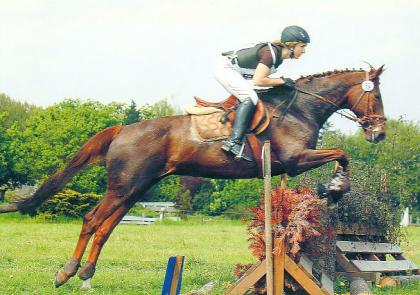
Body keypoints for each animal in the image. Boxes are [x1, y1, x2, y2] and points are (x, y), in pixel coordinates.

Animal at [0, 65, 386, 290]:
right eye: (377, 96)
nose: (379, 134)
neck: (300, 109)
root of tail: (123, 129)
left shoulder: (289, 165)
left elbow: (340, 155)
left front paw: (331, 188)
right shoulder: (294, 160)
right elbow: (342, 153)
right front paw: (334, 188)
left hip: (137, 187)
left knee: (106, 226)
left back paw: (86, 272)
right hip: (125, 185)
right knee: (92, 219)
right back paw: (66, 272)